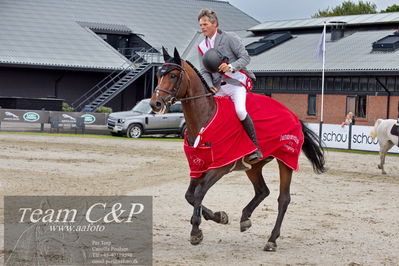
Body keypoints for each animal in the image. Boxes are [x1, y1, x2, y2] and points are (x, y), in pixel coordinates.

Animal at [150, 48, 324, 251]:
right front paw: (218, 217)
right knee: (262, 191)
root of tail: (293, 115)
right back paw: (245, 218)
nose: (155, 104)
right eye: (158, 75)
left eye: (173, 75)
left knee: (283, 199)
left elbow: (199, 193)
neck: (205, 118)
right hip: (254, 166)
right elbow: (190, 196)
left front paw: (195, 231)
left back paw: (272, 239)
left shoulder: (219, 167)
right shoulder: (198, 166)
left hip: (285, 160)